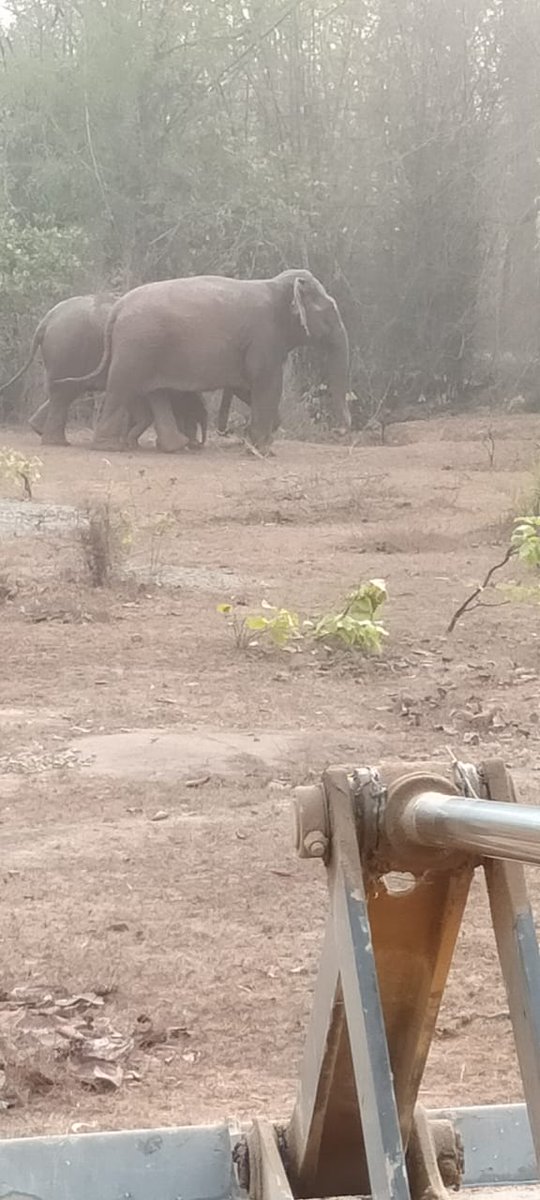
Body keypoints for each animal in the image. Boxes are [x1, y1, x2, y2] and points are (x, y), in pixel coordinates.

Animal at [57, 269, 351, 453]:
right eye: (330, 310)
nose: (340, 432)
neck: (276, 284)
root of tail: (118, 308)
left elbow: (248, 385)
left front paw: (258, 441)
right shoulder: (264, 336)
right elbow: (266, 382)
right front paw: (263, 449)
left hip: (148, 349)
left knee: (153, 392)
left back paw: (173, 446)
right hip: (137, 346)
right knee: (121, 387)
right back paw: (109, 447)